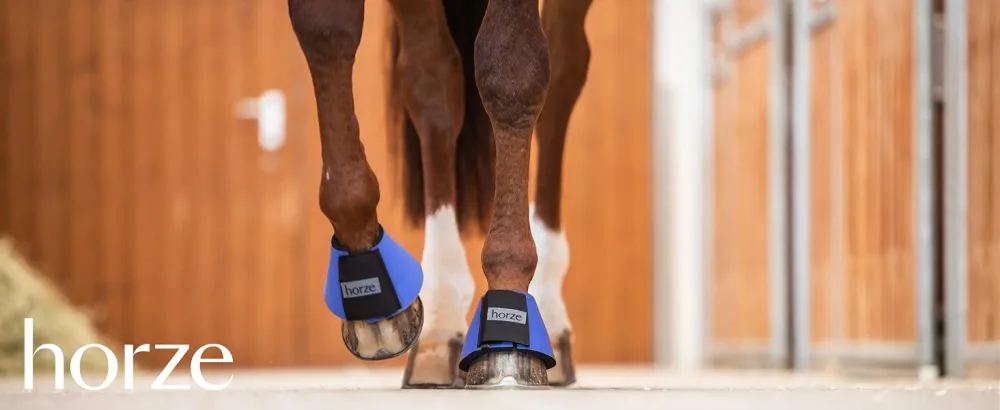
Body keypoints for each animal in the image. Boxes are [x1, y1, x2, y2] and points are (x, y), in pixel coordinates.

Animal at [288, 0, 592, 389]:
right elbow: (328, 30)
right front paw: (384, 304)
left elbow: (511, 71)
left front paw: (508, 282)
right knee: (435, 77)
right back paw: (440, 321)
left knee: (563, 74)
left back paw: (549, 314)